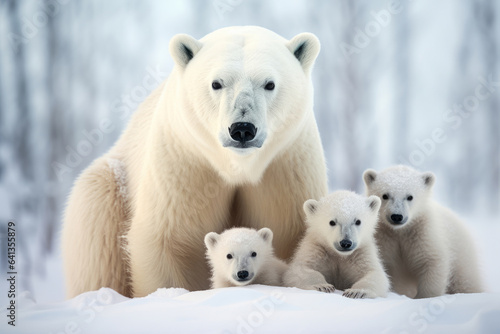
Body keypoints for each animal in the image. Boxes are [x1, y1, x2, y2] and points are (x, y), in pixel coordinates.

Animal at [61, 26, 328, 298]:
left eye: (270, 83)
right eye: (216, 83)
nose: (242, 129)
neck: (237, 167)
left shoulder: (286, 166)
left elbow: (291, 232)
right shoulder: (185, 163)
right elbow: (168, 237)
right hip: (106, 195)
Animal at [364, 164, 484, 298]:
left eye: (410, 197)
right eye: (385, 195)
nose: (397, 216)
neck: (399, 231)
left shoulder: (422, 232)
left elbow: (431, 260)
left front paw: (424, 296)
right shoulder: (384, 237)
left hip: (461, 254)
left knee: (465, 280)